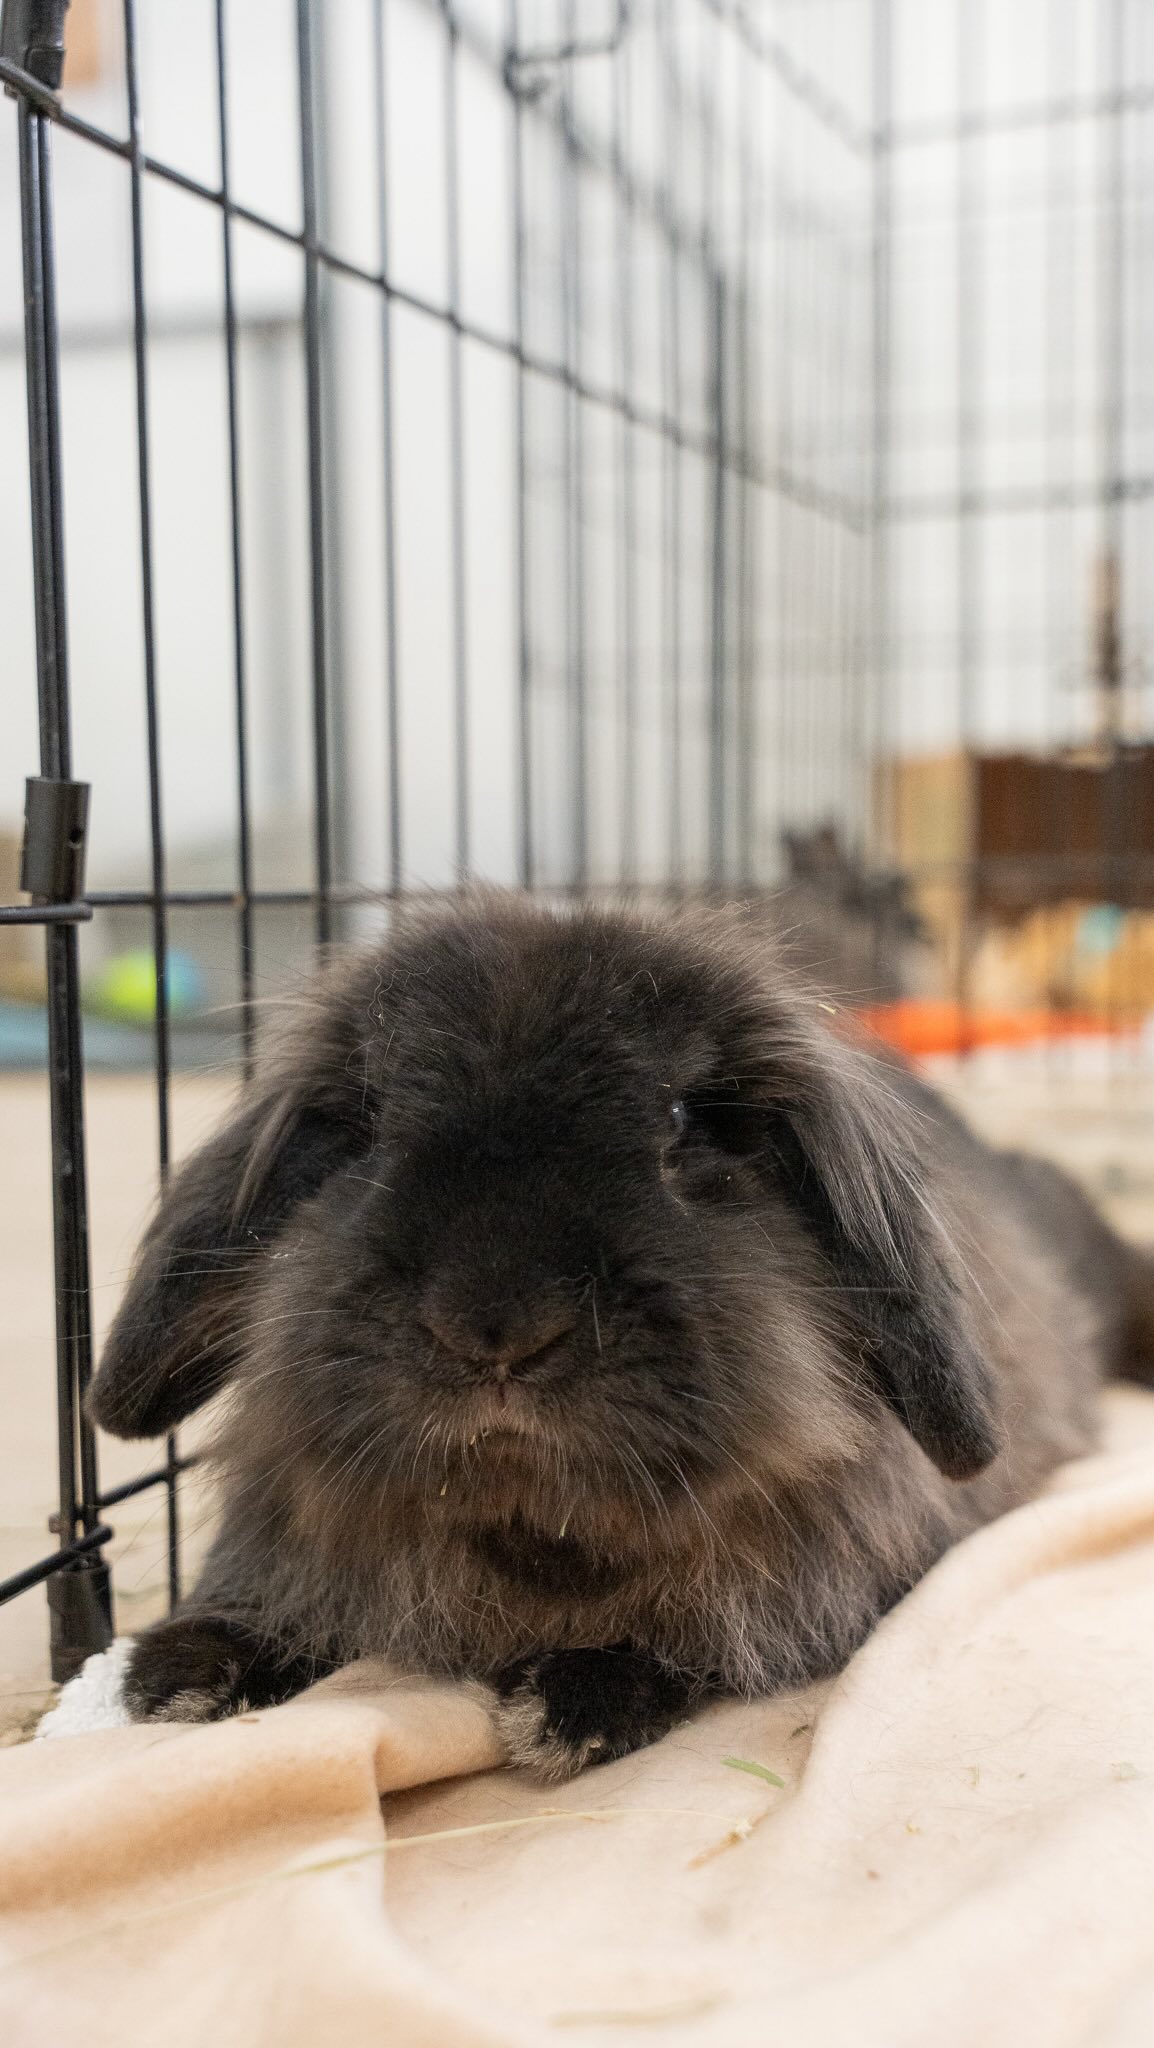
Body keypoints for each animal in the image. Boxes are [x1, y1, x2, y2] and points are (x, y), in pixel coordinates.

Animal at [86, 893, 1154, 1780]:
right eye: (370, 1124)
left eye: (684, 1120)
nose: (495, 1331)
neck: (528, 1526)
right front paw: (177, 1672)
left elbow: (702, 1640)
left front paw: (573, 1701)